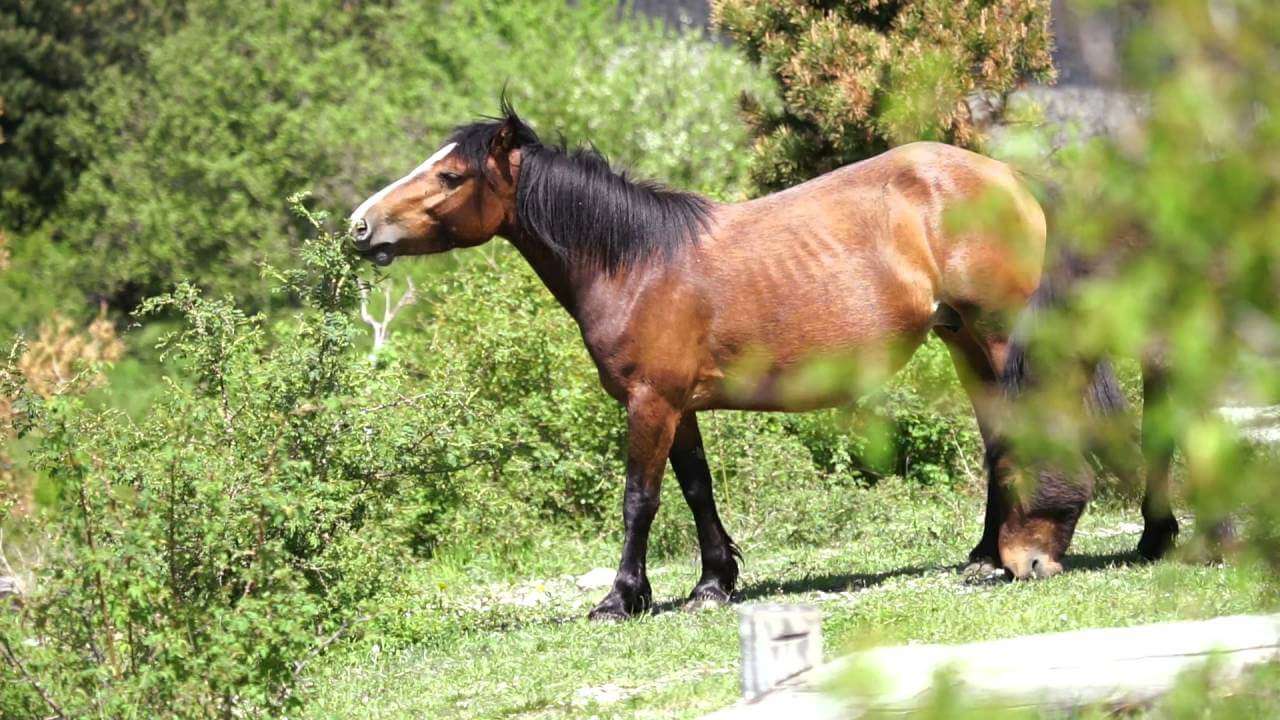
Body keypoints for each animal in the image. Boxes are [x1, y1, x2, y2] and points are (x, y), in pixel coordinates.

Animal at [349, 100, 1101, 620]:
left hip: (999, 340)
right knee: (998, 437)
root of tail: (1012, 180)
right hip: (964, 341)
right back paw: (982, 558)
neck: (637, 263)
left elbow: (640, 498)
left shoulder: (650, 402)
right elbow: (696, 487)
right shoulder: (676, 405)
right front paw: (713, 583)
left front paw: (621, 598)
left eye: (450, 174)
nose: (360, 225)